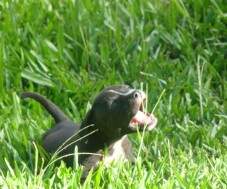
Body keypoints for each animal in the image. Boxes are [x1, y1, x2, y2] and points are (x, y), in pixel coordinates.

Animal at [21, 85, 157, 174]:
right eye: (113, 103)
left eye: (126, 87)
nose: (137, 92)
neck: (114, 143)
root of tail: (62, 121)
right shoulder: (86, 170)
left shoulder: (131, 160)